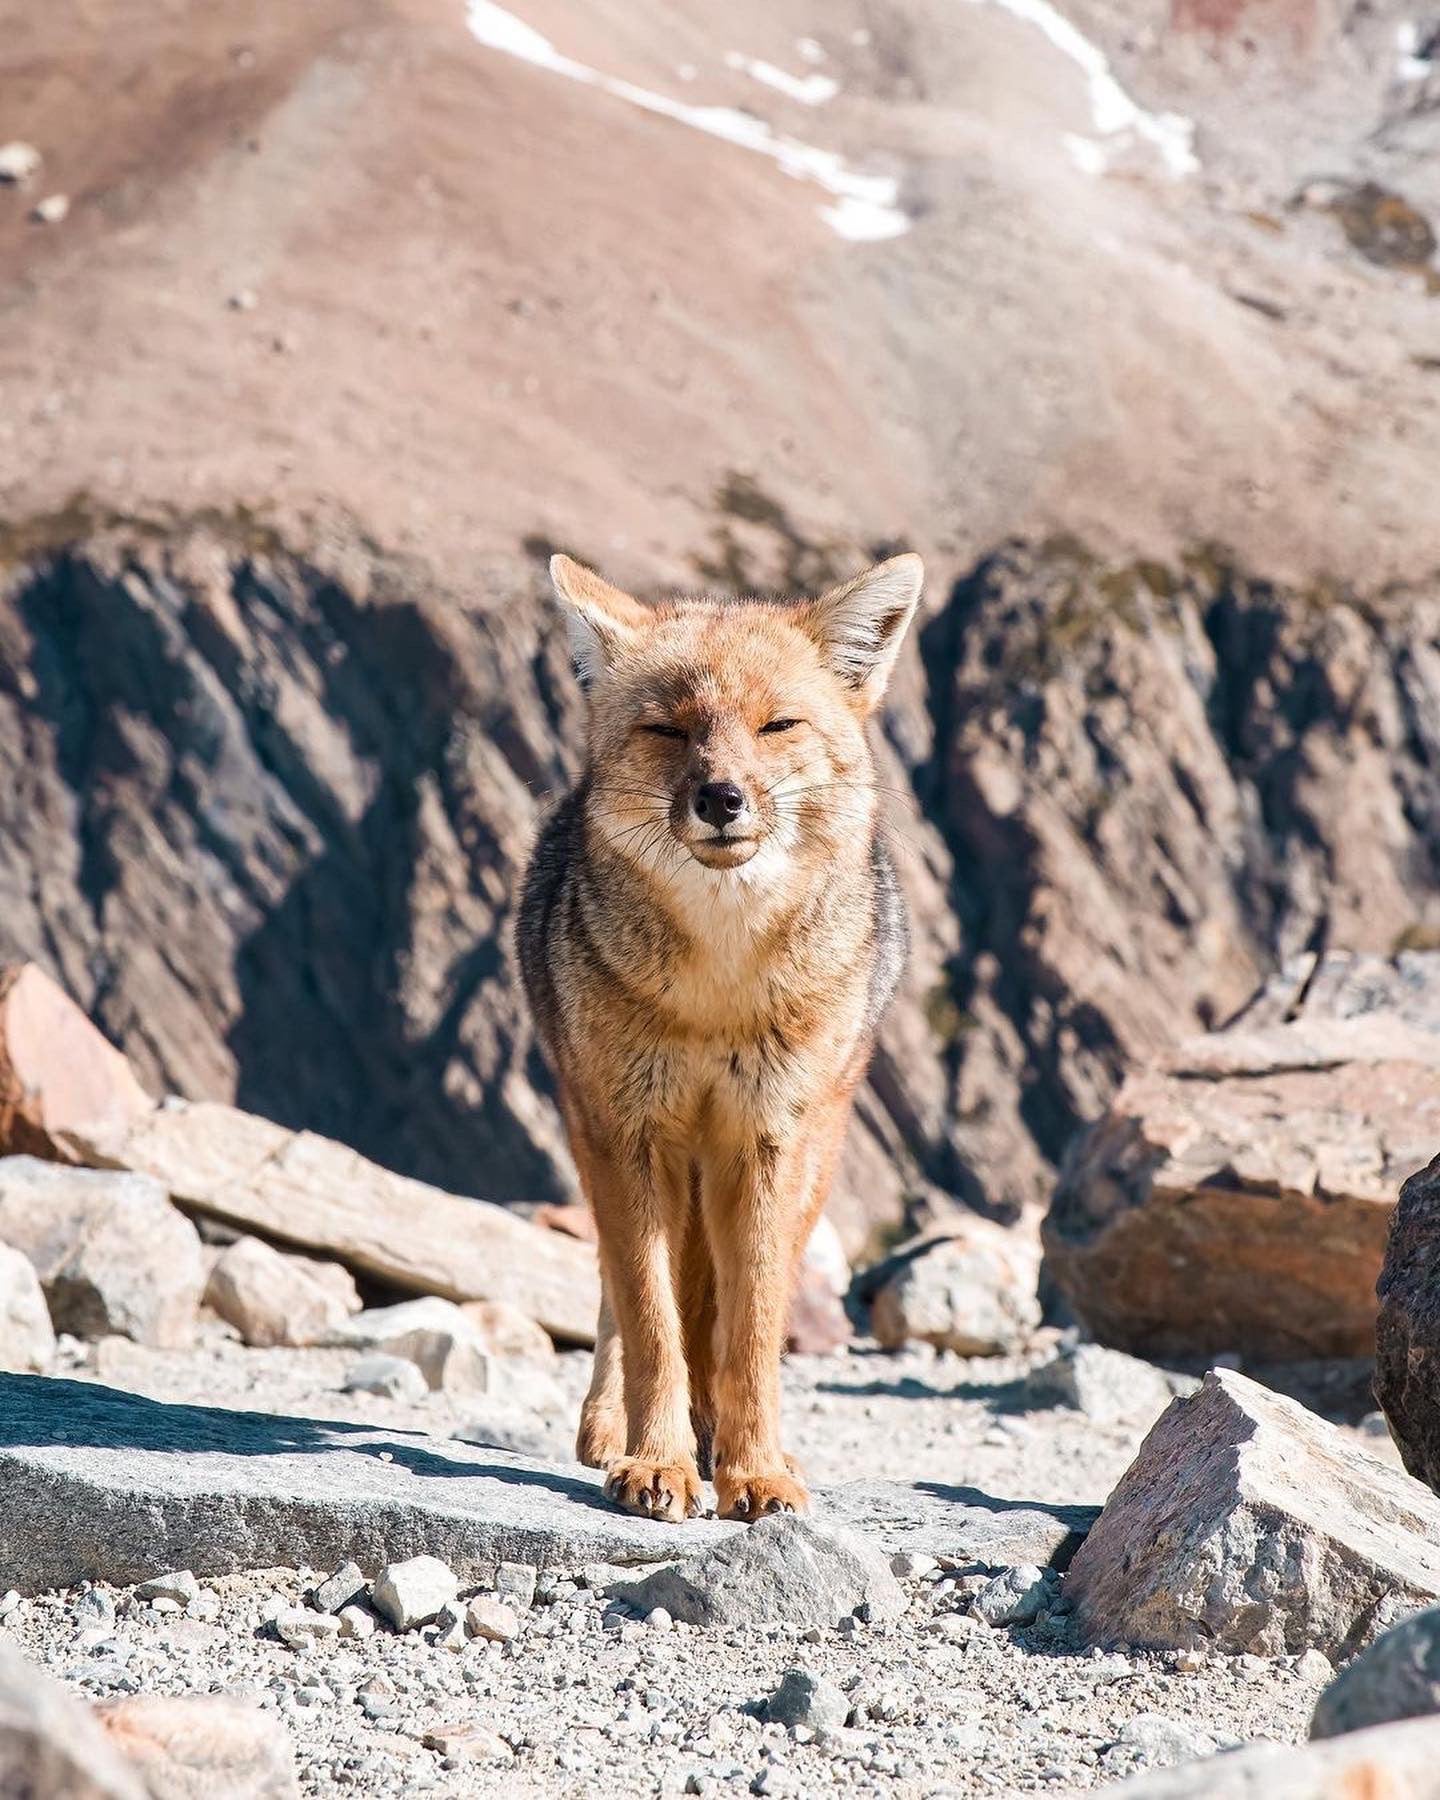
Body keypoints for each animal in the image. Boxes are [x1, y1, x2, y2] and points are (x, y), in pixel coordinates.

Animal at [522, 547, 921, 1519]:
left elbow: (748, 1332)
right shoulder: (626, 1133)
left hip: (796, 1154)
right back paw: (614, 1431)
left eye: (777, 725)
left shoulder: (770, 1142)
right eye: (669, 730)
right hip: (616, 1147)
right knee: (624, 1297)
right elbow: (652, 1320)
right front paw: (656, 1462)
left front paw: (755, 1470)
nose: (722, 796)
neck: (717, 993)